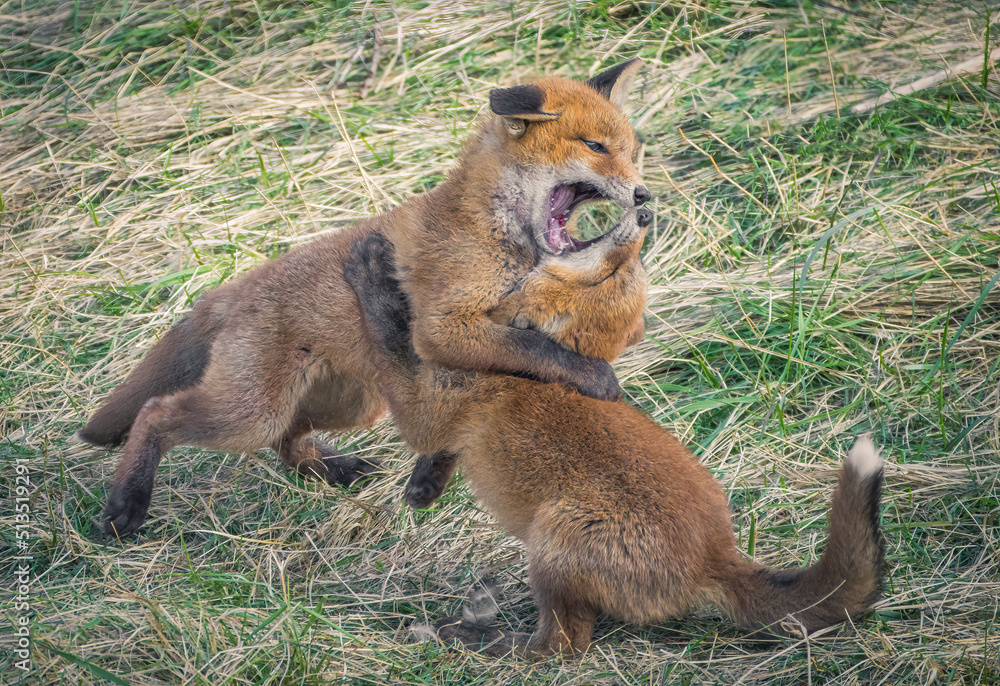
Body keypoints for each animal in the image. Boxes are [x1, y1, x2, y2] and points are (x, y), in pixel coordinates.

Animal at [79, 59, 652, 539]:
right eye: (596, 147)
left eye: (632, 151)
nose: (645, 197)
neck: (498, 236)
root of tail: (234, 288)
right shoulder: (441, 328)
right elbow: (535, 350)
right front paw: (594, 377)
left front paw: (429, 474)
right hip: (251, 411)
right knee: (158, 412)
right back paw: (126, 504)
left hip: (352, 403)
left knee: (286, 440)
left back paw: (332, 470)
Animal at [341, 225, 886, 657]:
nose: (640, 215)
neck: (526, 368)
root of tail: (716, 558)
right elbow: (437, 452)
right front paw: (423, 487)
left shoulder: (428, 404)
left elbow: (393, 340)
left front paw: (372, 270)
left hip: (555, 538)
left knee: (561, 646)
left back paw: (471, 638)